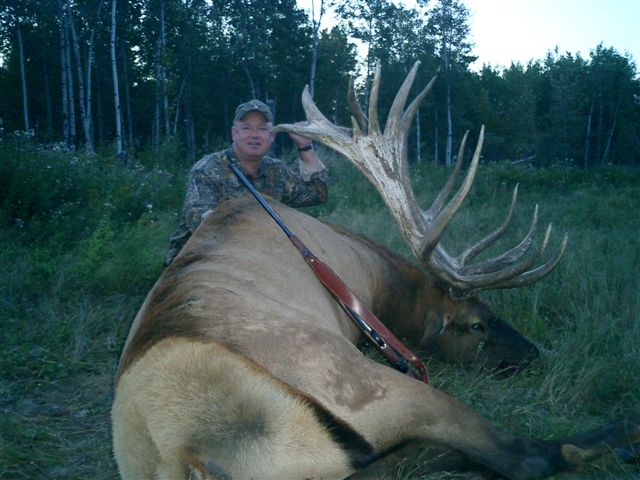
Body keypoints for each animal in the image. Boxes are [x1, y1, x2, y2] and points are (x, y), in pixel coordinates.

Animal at [111, 61, 639, 479]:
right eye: (475, 324)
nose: (532, 353)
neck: (370, 273)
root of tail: (194, 454)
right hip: (371, 383)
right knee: (524, 456)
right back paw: (624, 432)